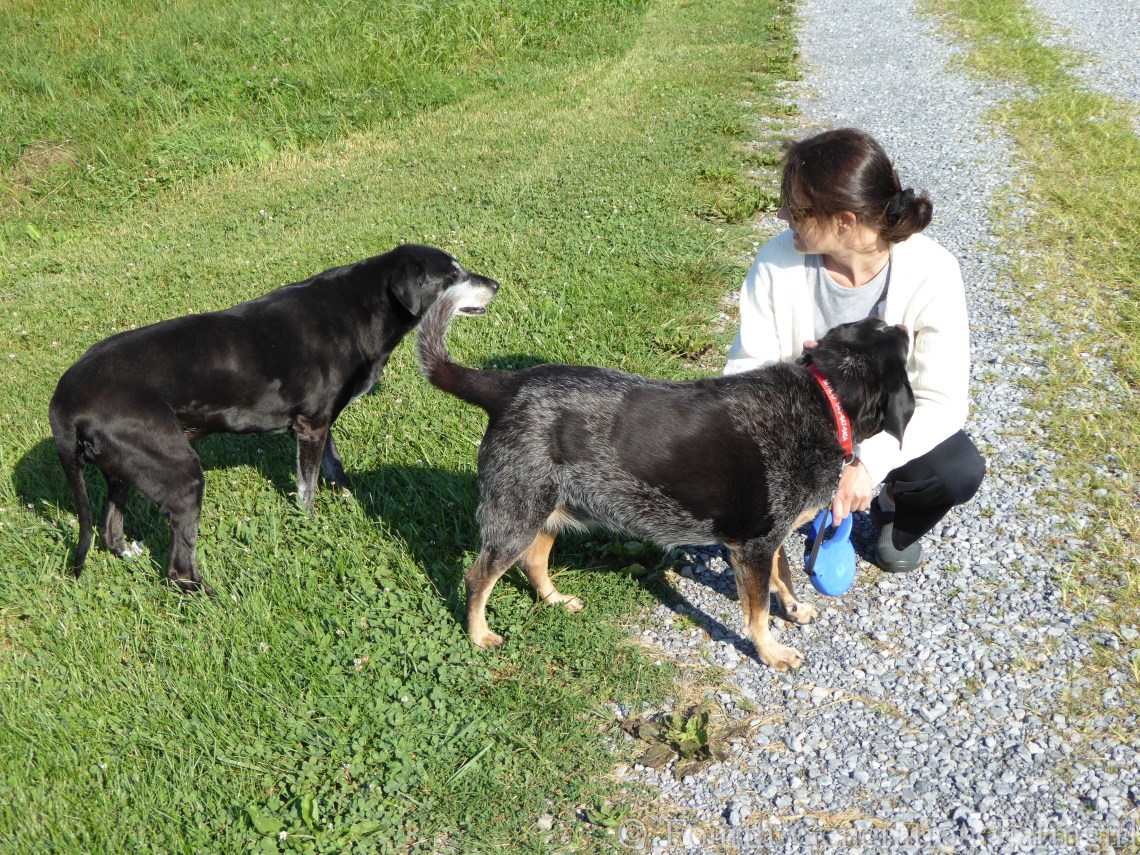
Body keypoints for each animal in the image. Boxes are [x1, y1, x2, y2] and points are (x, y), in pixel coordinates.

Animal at [49, 244, 500, 592]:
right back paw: (215, 598)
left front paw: (348, 502)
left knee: (110, 530)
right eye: (451, 276)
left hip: (127, 467)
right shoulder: (311, 425)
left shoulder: (322, 424)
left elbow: (333, 470)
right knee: (178, 569)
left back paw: (129, 551)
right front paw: (314, 527)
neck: (365, 307)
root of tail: (63, 399)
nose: (496, 285)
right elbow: (307, 488)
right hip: (178, 471)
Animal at [416, 284, 914, 671]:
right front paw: (771, 652)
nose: (903, 323)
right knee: (478, 578)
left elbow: (784, 575)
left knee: (533, 562)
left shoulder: (769, 538)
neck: (824, 399)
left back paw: (554, 599)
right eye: (893, 336)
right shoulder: (752, 546)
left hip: (545, 507)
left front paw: (793, 608)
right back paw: (479, 634)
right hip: (516, 514)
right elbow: (757, 613)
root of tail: (507, 387)